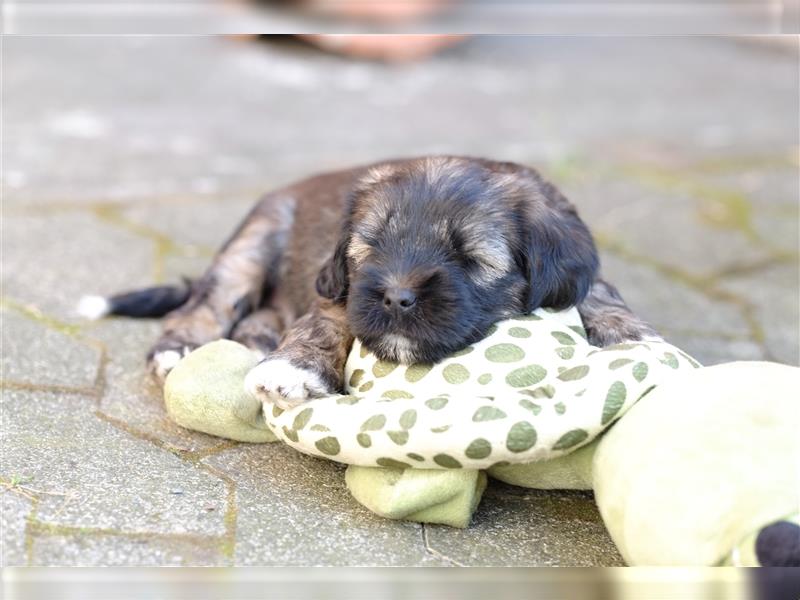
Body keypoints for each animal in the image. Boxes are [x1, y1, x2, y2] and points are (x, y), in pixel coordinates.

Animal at [78, 155, 660, 408]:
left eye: (469, 257)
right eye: (372, 246)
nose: (397, 297)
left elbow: (599, 293)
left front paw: (632, 339)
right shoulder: (340, 288)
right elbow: (326, 322)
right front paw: (293, 370)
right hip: (257, 236)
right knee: (208, 302)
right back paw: (179, 348)